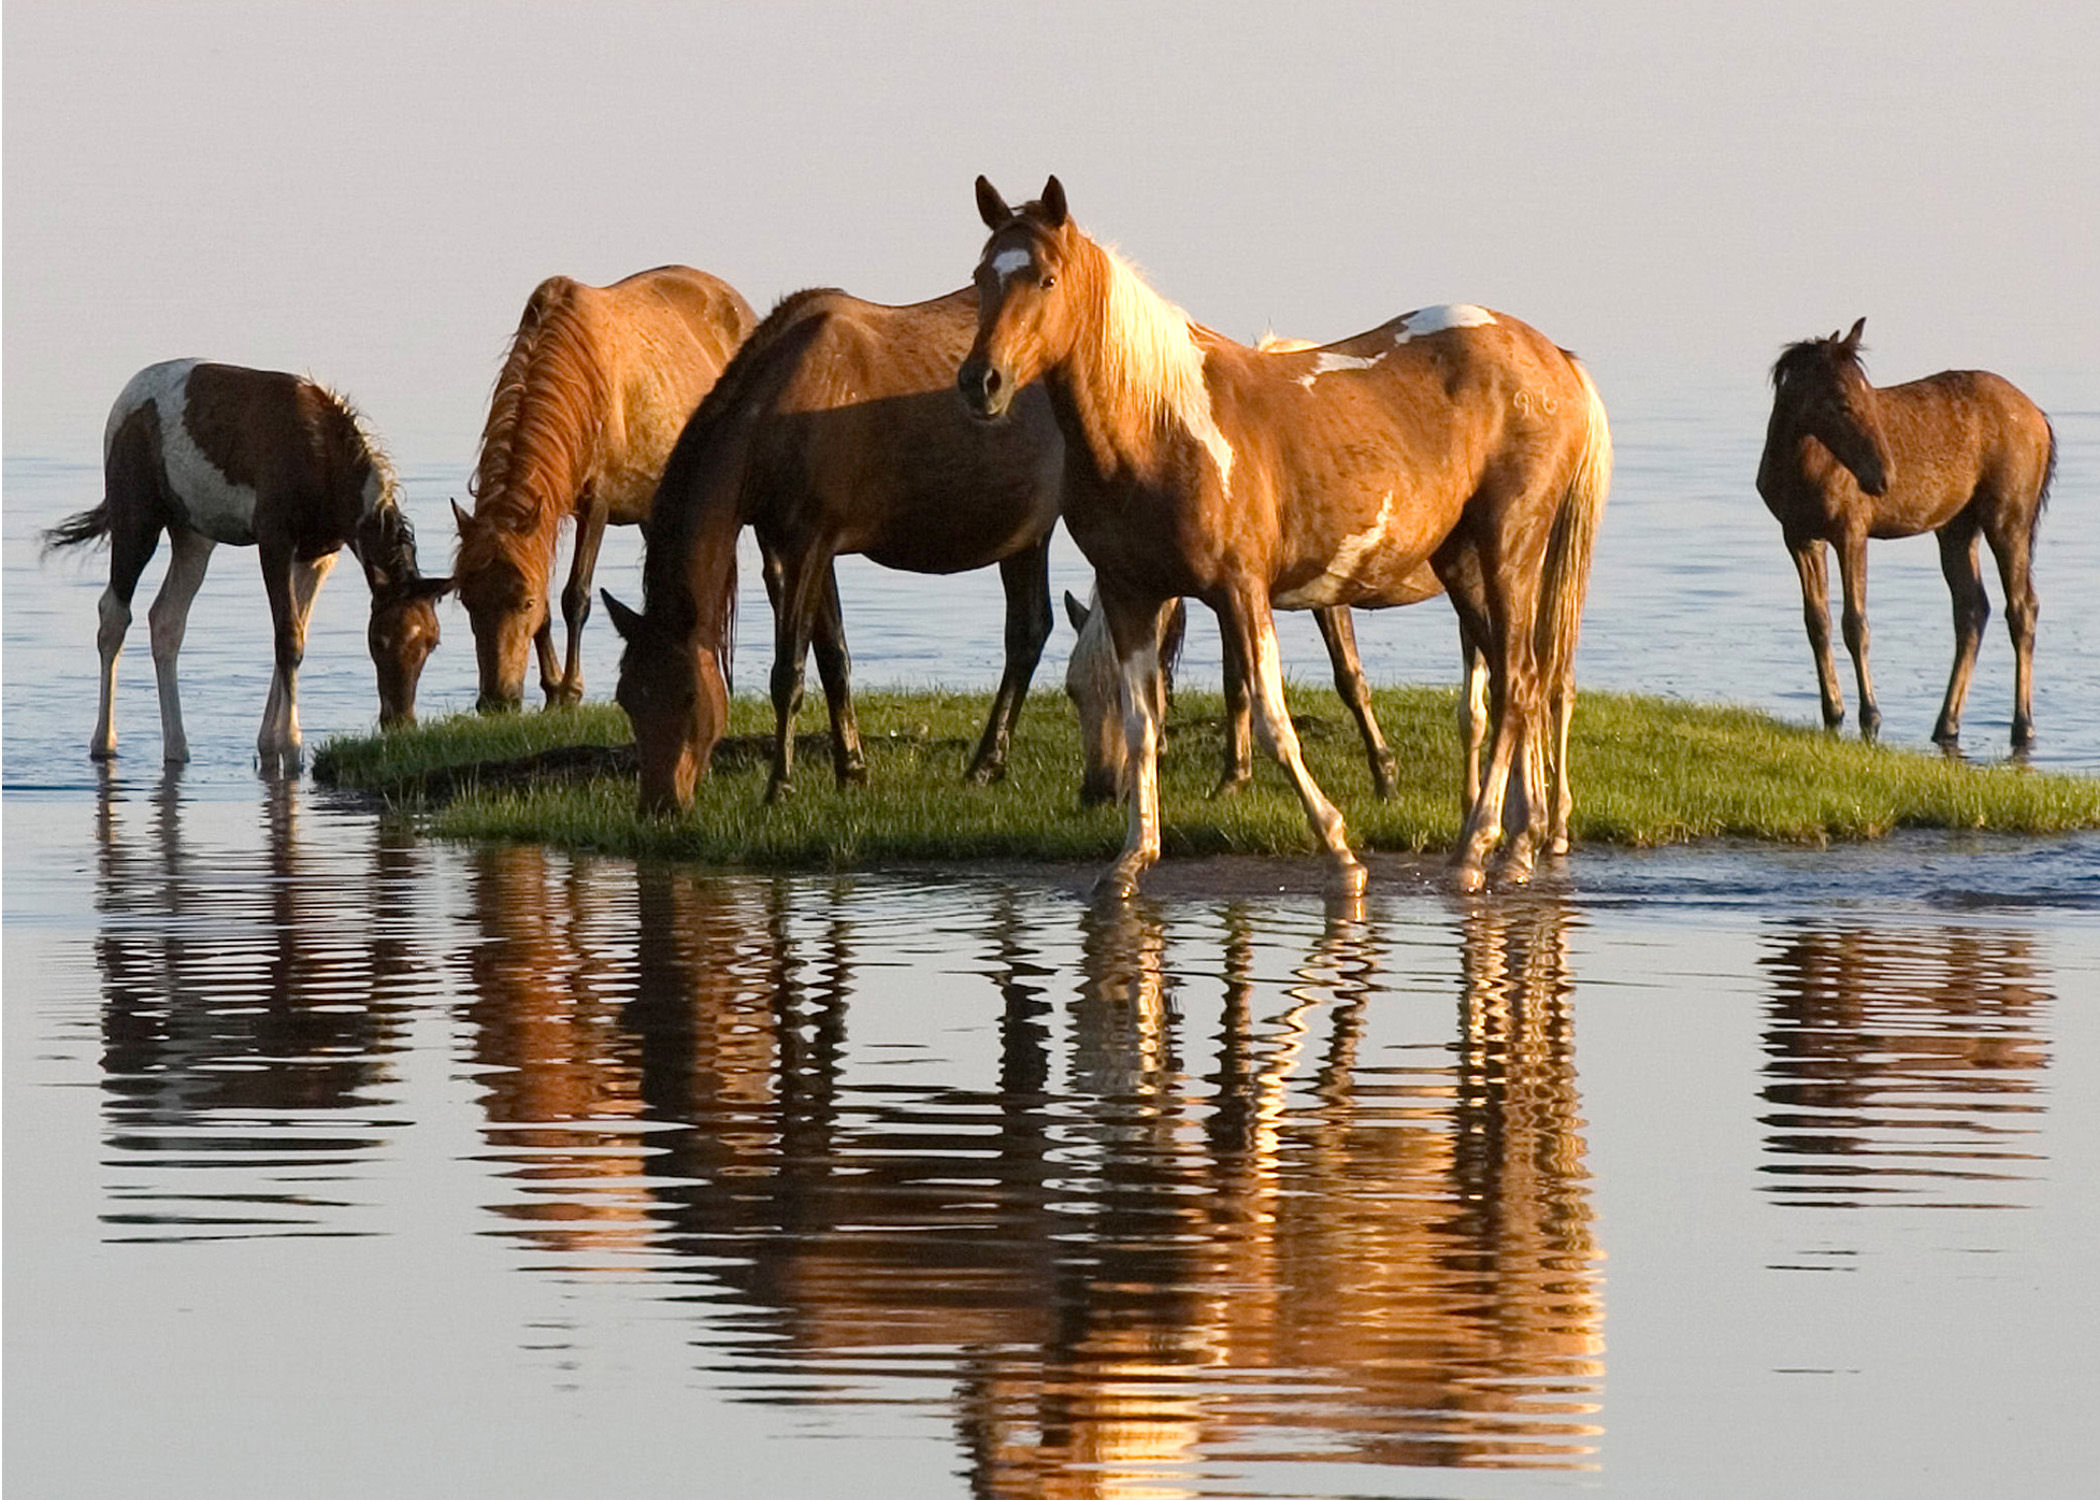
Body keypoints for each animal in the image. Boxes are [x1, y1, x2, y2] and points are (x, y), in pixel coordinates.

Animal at [44, 357, 451, 764]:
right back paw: (104, 743)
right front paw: (291, 744)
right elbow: (288, 639)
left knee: (166, 621)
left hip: (193, 536)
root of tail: (124, 401)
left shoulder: (318, 555)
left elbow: (296, 634)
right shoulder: (274, 540)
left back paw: (177, 748)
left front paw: (269, 742)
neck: (321, 455)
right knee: (114, 616)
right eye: (379, 640)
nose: (399, 721)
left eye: (431, 643)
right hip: (137, 521)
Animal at [455, 265, 760, 710]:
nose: (497, 701)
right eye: (468, 600)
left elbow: (575, 597)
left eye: (522, 602)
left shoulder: (595, 505)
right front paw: (552, 688)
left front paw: (570, 690)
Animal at [609, 285, 1066, 810]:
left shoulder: (808, 543)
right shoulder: (793, 549)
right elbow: (833, 661)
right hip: (1028, 537)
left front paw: (779, 785)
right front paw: (851, 771)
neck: (779, 413)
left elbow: (788, 673)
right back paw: (989, 764)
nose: (659, 805)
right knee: (1028, 633)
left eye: (687, 695)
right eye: (626, 697)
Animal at [961, 179, 1612, 894]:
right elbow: (1143, 724)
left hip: (1510, 550)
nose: (981, 381)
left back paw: (1479, 849)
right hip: (1464, 565)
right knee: (1518, 683)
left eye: (1047, 279)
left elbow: (1274, 722)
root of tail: (1555, 359)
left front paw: (1340, 852)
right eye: (980, 277)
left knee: (1523, 685)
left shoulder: (1243, 590)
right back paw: (1518, 840)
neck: (1159, 427)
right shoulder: (1132, 591)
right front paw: (1132, 858)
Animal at [1755, 317, 2049, 747]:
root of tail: (2041, 419)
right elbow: (1817, 622)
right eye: (1841, 401)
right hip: (1957, 527)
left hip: (2010, 517)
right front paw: (1833, 712)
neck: (1795, 469)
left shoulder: (1851, 530)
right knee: (1972, 609)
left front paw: (1871, 717)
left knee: (2022, 608)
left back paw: (2023, 726)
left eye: (1870, 393)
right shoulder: (1799, 535)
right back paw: (1947, 723)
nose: (1883, 477)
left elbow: (1855, 623)